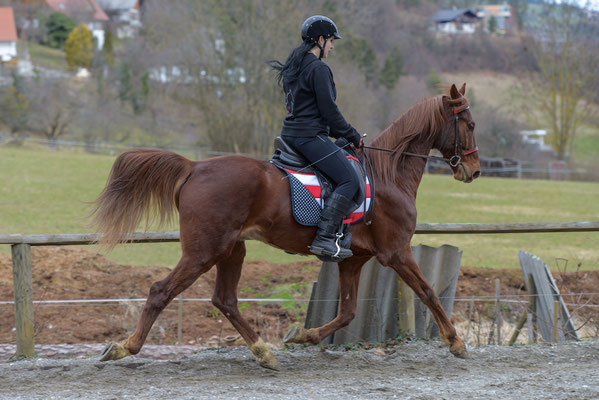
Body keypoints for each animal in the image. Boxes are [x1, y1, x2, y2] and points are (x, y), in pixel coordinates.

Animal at [91, 83, 480, 370]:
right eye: (470, 124)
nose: (474, 172)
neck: (389, 174)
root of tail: (195, 166)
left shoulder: (353, 260)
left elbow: (348, 312)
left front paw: (302, 336)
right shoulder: (396, 252)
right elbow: (428, 292)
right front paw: (456, 342)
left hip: (232, 249)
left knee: (225, 299)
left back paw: (264, 353)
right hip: (204, 250)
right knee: (162, 291)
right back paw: (125, 348)